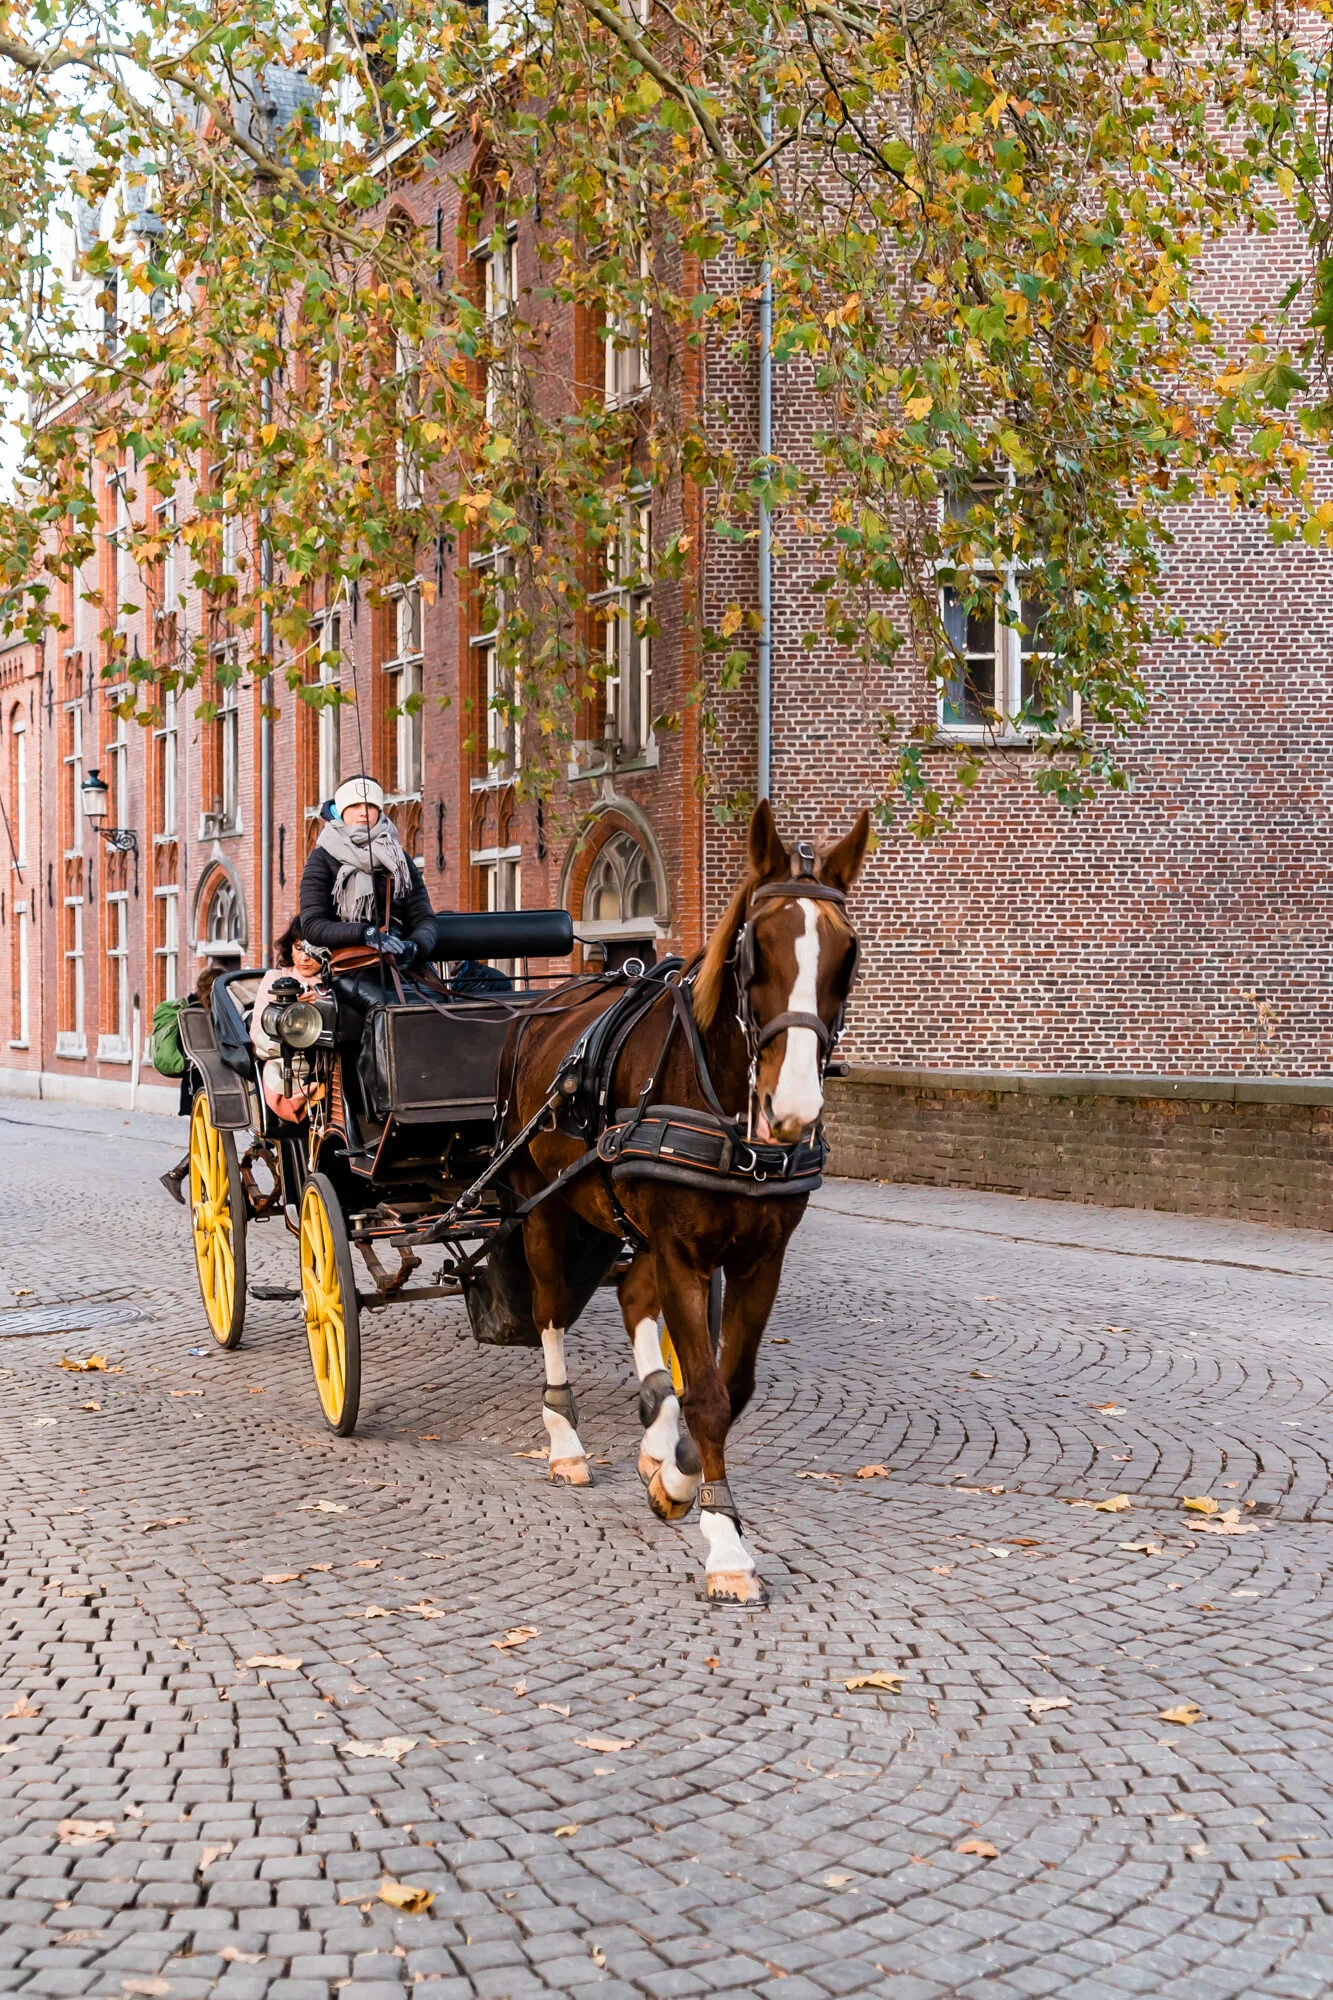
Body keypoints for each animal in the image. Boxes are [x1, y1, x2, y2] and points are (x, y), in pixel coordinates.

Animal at [501, 800, 869, 1604]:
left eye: (849, 955)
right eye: (754, 951)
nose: (794, 1107)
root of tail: (542, 1006)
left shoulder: (759, 1257)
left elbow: (731, 1385)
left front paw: (673, 1475)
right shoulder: (680, 1250)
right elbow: (706, 1393)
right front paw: (724, 1545)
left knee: (633, 1299)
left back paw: (651, 1425)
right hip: (540, 1204)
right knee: (549, 1311)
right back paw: (566, 1441)